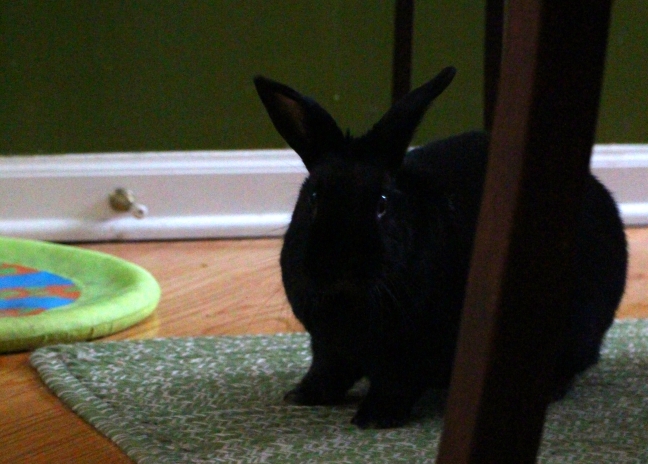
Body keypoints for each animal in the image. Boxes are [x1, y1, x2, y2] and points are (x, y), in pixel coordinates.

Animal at [253, 66, 628, 429]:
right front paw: (302, 396)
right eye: (313, 199)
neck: (349, 300)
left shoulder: (409, 354)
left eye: (382, 204)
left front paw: (374, 419)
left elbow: (394, 385)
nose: (339, 262)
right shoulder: (328, 346)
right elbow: (327, 371)